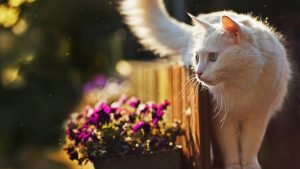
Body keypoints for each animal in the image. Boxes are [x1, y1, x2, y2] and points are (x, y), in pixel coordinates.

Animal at [119, 0, 290, 168]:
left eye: (213, 57)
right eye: (197, 57)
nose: (198, 73)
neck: (239, 82)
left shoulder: (258, 117)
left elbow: (250, 147)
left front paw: (249, 166)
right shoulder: (222, 120)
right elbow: (230, 149)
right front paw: (233, 166)